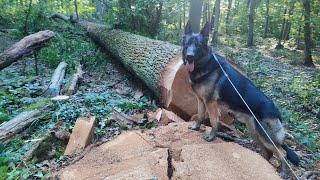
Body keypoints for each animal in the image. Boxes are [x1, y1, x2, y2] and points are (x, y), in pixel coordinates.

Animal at [182, 21, 300, 179]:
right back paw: (263, 163)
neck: (204, 65)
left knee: (283, 152)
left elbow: (213, 121)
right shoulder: (201, 101)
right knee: (269, 153)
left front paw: (211, 136)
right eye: (187, 44)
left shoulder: (211, 104)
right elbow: (200, 115)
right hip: (255, 134)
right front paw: (196, 127)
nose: (189, 56)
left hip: (264, 136)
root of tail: (276, 111)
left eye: (199, 45)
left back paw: (283, 172)